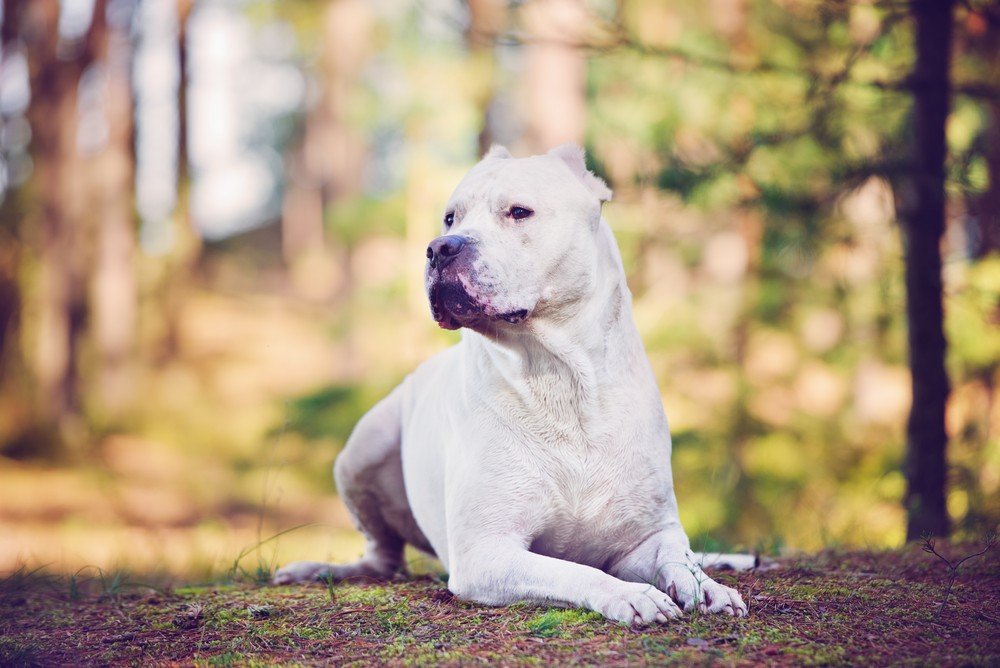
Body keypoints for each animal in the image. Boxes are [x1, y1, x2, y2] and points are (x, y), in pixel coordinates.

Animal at [276, 144, 752, 624]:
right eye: (450, 218)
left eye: (519, 212)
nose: (440, 248)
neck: (561, 379)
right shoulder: (486, 553)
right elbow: (576, 572)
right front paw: (631, 595)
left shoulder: (649, 534)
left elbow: (678, 560)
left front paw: (708, 588)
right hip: (362, 450)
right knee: (381, 556)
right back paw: (319, 569)